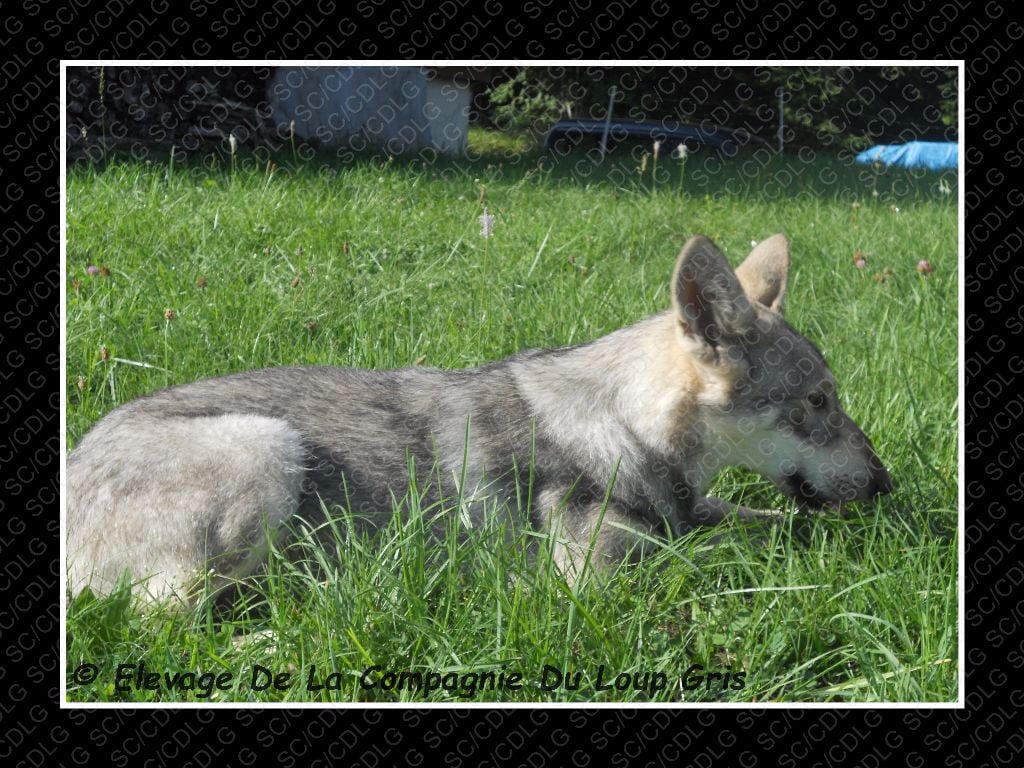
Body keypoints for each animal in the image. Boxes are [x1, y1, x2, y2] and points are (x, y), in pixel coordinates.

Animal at [68, 234, 892, 602]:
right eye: (819, 401)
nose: (887, 485)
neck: (620, 427)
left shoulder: (695, 507)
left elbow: (764, 520)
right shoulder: (588, 581)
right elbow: (714, 556)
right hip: (264, 446)